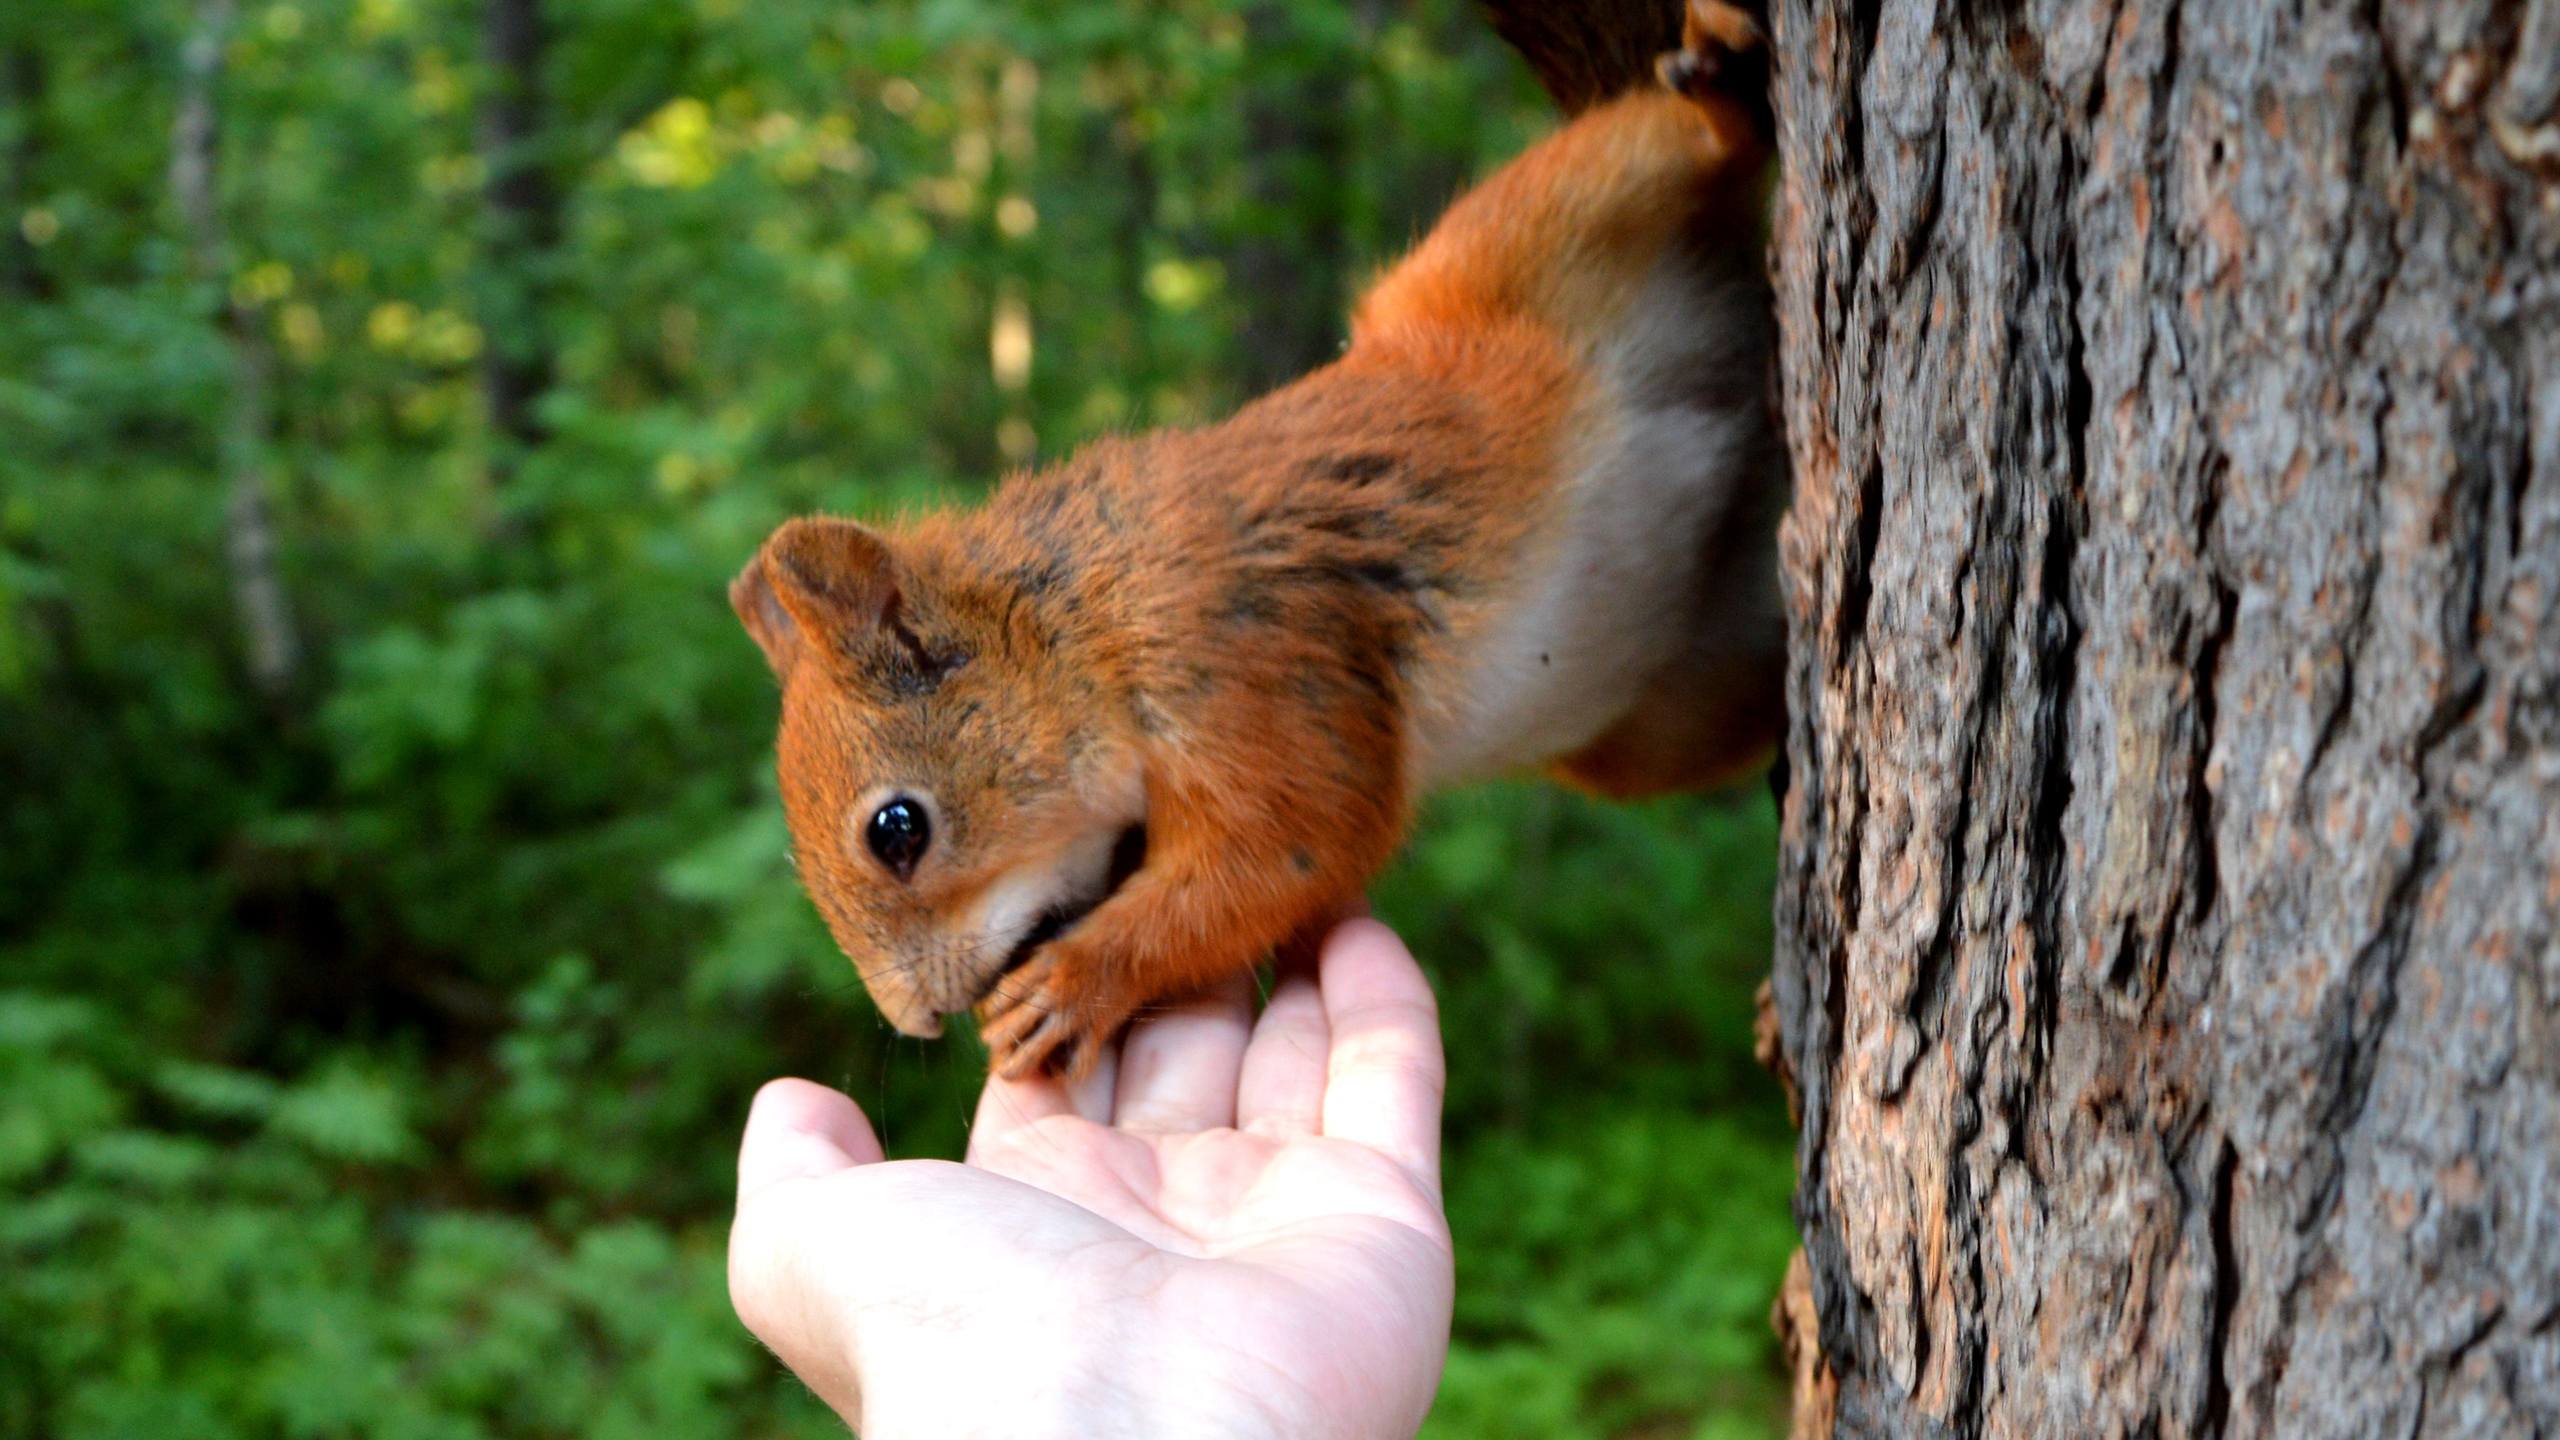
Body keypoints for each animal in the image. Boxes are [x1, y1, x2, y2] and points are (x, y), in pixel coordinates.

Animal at [732, 2, 1792, 1076]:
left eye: (897, 829)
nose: (915, 1021)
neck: (1087, 619)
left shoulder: (1243, 657)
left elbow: (1290, 846)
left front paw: (1074, 983)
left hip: (1533, 227)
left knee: (1669, 146)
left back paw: (1718, 84)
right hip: (1668, 712)